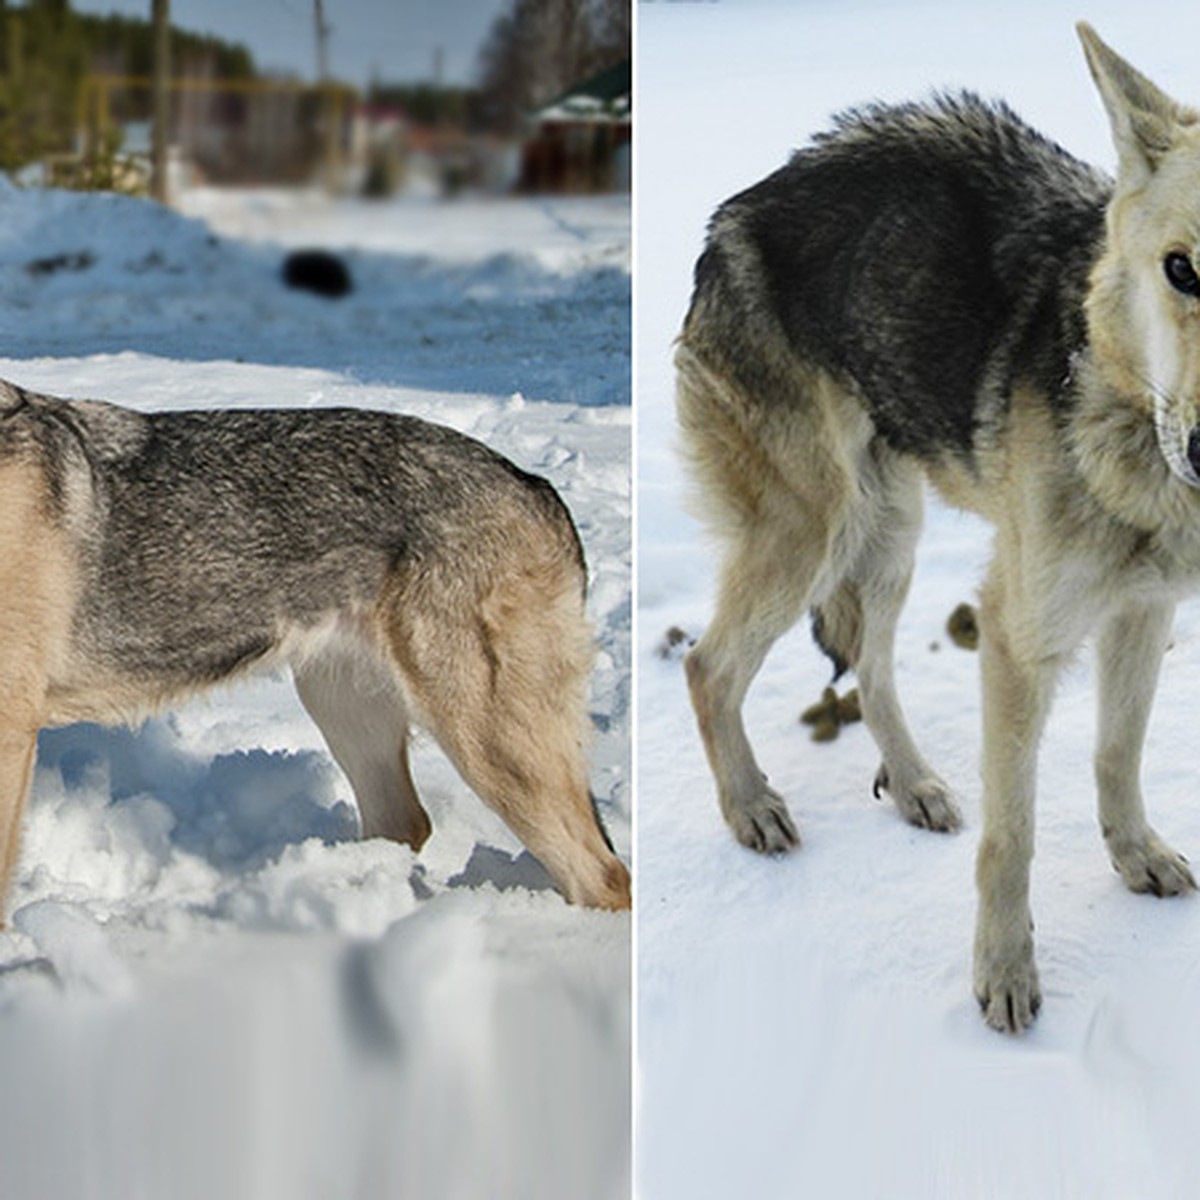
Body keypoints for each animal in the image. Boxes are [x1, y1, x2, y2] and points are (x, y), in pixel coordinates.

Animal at [676, 21, 1200, 1032]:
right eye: (1183, 270)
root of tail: (739, 207)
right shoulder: (1017, 637)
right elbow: (1014, 836)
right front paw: (1004, 973)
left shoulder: (1144, 613)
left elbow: (1118, 753)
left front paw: (1135, 855)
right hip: (813, 535)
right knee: (709, 666)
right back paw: (750, 806)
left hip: (889, 536)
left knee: (872, 669)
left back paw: (913, 784)